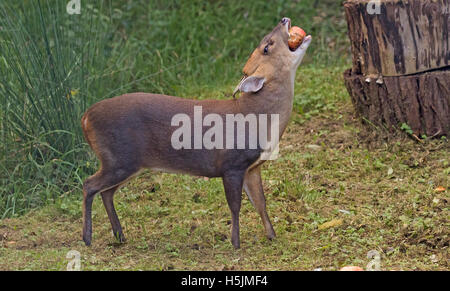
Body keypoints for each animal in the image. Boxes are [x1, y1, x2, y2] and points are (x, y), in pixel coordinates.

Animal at [81, 17, 312, 250]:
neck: (258, 116)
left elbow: (260, 203)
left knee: (106, 192)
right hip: (118, 157)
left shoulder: (253, 167)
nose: (284, 19)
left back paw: (120, 236)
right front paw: (236, 243)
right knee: (89, 184)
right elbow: (235, 206)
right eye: (267, 46)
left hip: (127, 163)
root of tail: (85, 118)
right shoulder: (232, 164)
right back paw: (87, 238)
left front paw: (272, 236)